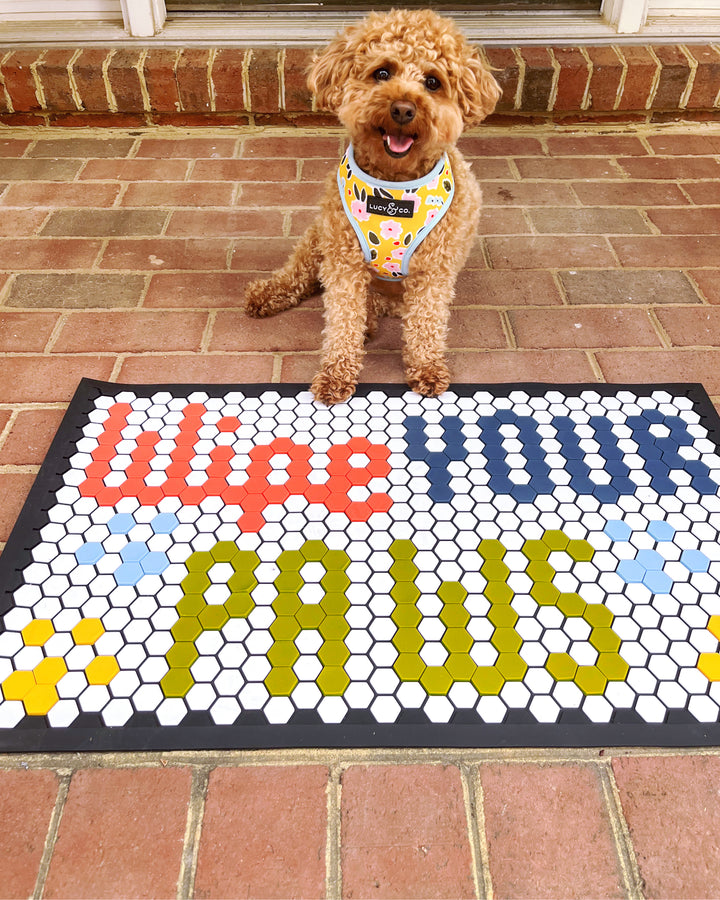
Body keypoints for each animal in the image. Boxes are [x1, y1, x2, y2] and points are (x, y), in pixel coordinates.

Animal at [245, 8, 498, 404]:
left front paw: (426, 368)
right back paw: (268, 294)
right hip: (318, 237)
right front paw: (336, 374)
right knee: (298, 274)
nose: (403, 109)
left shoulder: (433, 273)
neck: (392, 188)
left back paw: (372, 318)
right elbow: (341, 322)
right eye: (382, 72)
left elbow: (426, 325)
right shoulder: (344, 262)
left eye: (433, 82)